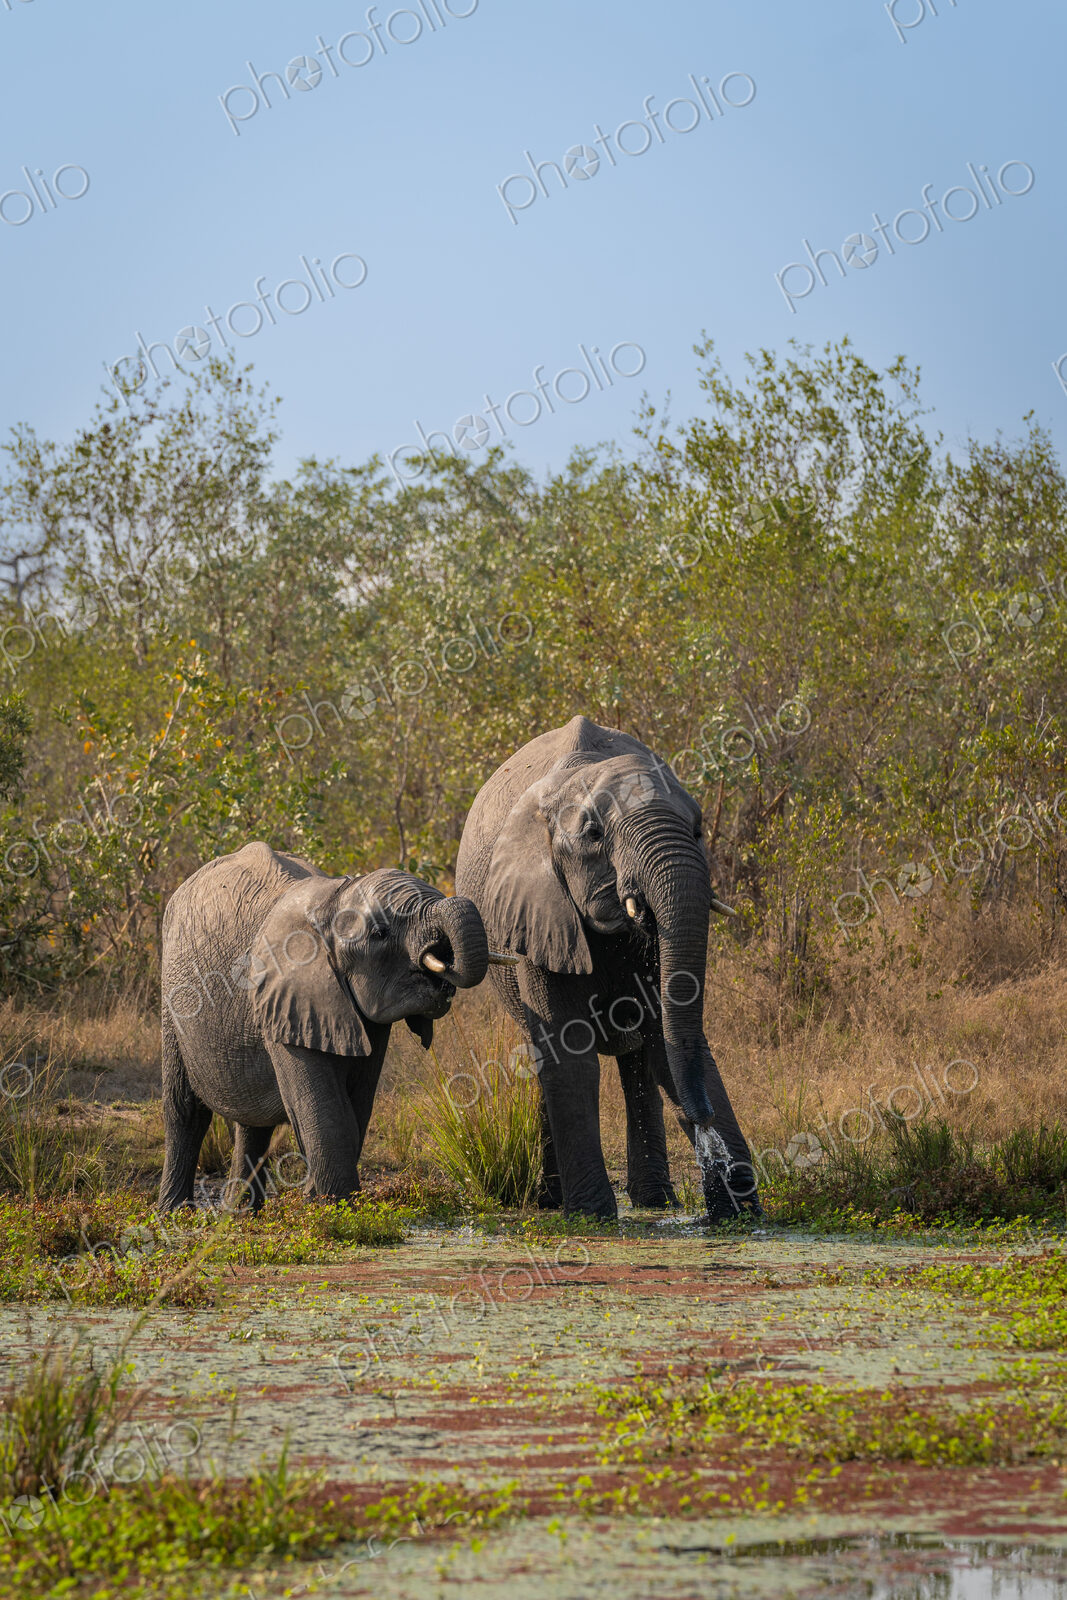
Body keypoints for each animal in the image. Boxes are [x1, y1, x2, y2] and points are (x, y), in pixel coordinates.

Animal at [158, 840, 505, 1213]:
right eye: (380, 934)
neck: (333, 901)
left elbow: (358, 1107)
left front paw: (324, 1204)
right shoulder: (286, 1001)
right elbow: (324, 1110)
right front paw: (336, 1208)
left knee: (252, 1123)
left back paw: (240, 1213)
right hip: (172, 1002)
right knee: (185, 1111)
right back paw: (175, 1212)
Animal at [455, 716, 760, 1222]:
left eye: (698, 830)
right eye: (594, 835)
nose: (703, 1119)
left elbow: (666, 1042)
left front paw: (740, 1214)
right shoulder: (538, 913)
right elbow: (569, 1054)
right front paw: (591, 1217)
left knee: (639, 1062)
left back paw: (656, 1201)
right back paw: (553, 1203)